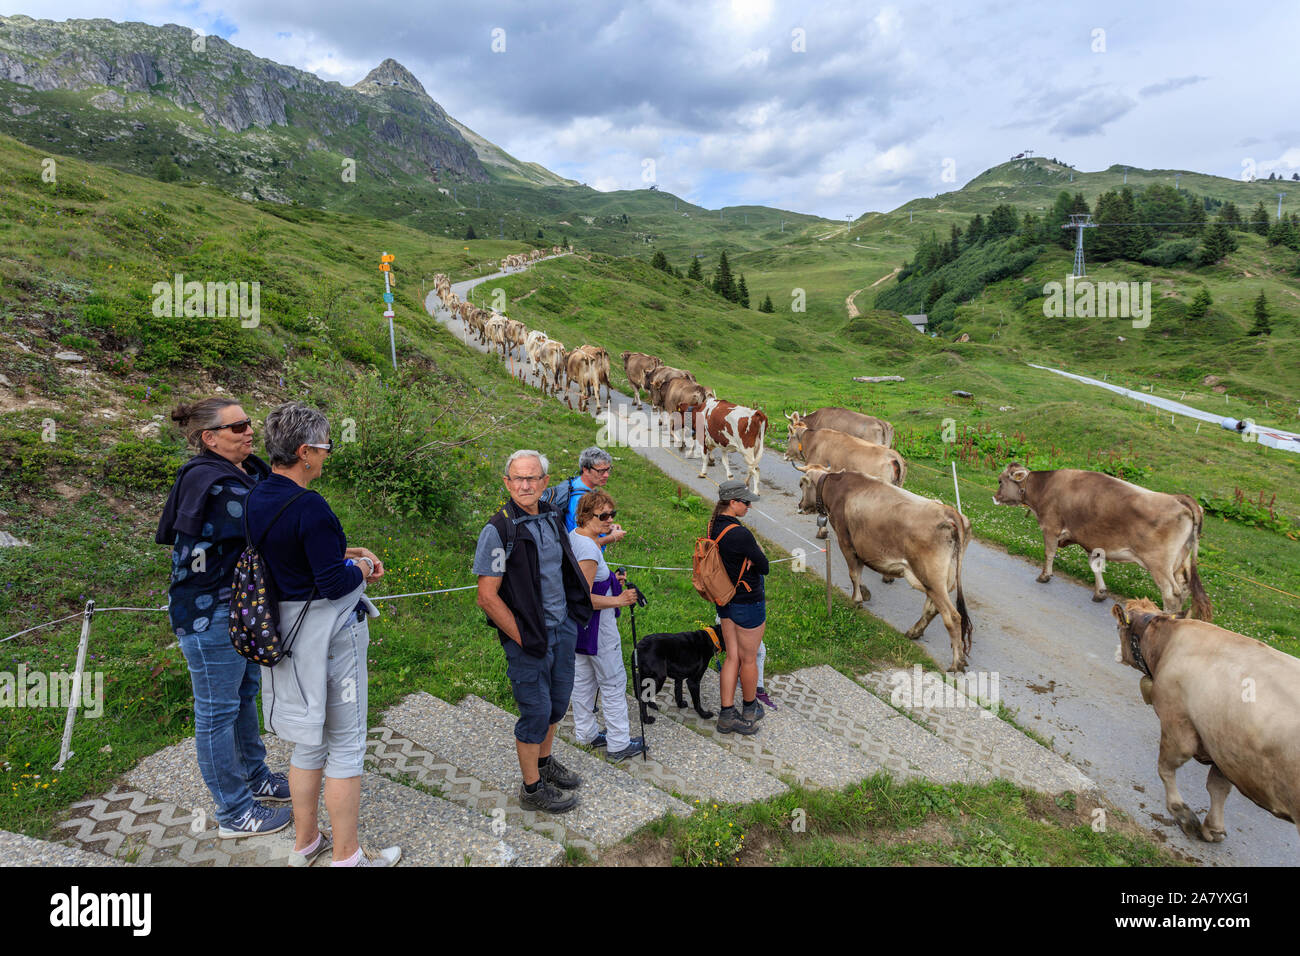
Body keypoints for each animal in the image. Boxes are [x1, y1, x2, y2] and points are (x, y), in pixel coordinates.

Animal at [790, 465, 977, 671]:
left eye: (801, 484)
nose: (800, 506)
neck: (838, 488)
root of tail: (951, 512)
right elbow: (858, 571)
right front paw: (864, 593)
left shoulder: (846, 540)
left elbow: (853, 572)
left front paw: (857, 599)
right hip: (939, 579)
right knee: (932, 608)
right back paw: (914, 632)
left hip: (931, 577)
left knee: (952, 616)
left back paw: (956, 662)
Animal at [987, 465, 1211, 616]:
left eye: (1000, 481)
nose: (994, 497)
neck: (1046, 486)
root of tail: (1179, 498)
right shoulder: (1092, 540)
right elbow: (1095, 565)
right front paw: (1100, 592)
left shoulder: (1050, 528)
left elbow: (1049, 553)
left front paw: (1045, 576)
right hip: (1180, 562)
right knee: (1184, 589)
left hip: (1159, 564)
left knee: (1171, 594)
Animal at [1107, 600, 1300, 842]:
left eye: (1118, 627)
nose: (1116, 652)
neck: (1167, 642)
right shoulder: (1225, 748)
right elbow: (1218, 787)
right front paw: (1214, 828)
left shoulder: (1178, 726)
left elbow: (1165, 768)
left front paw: (1181, 812)